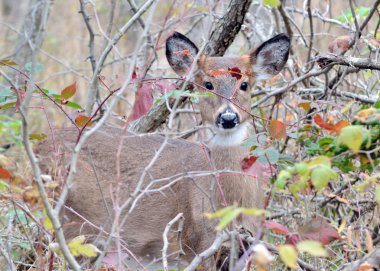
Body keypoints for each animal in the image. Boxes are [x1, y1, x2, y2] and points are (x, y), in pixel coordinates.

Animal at [37, 31, 290, 270]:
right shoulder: (198, 242)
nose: (228, 118)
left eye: (244, 85)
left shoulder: (244, 246)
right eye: (207, 85)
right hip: (70, 221)